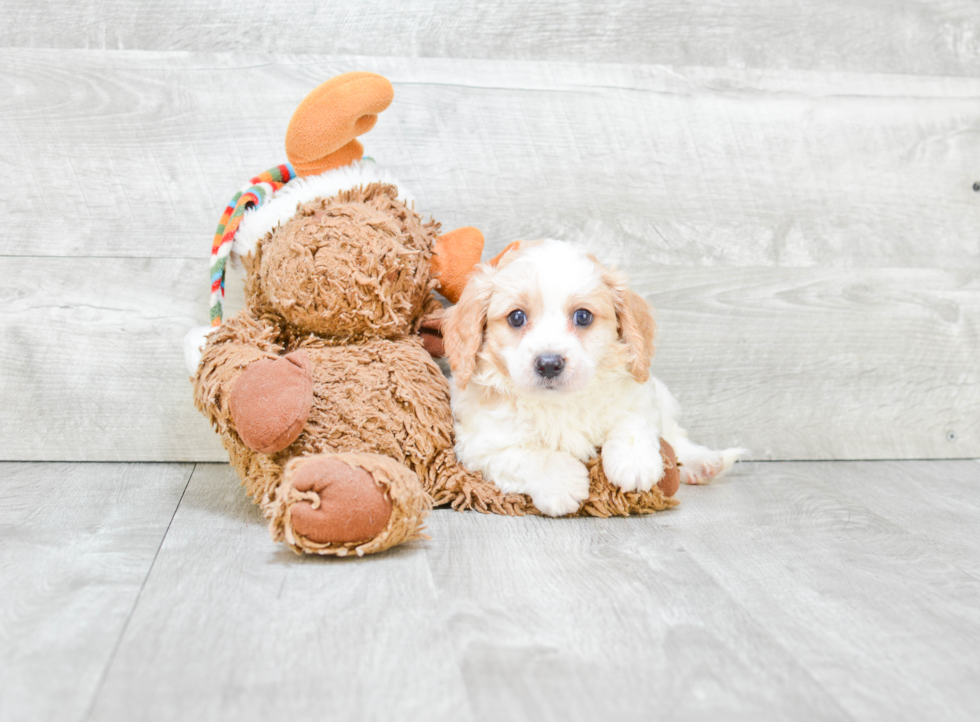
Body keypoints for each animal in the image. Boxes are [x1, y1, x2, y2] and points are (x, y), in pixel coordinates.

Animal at [442, 239, 744, 516]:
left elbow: (632, 419)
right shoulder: (480, 443)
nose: (549, 364)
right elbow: (524, 455)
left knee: (674, 433)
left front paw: (633, 463)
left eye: (583, 316)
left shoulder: (641, 392)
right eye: (516, 317)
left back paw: (703, 461)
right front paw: (562, 483)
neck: (558, 403)